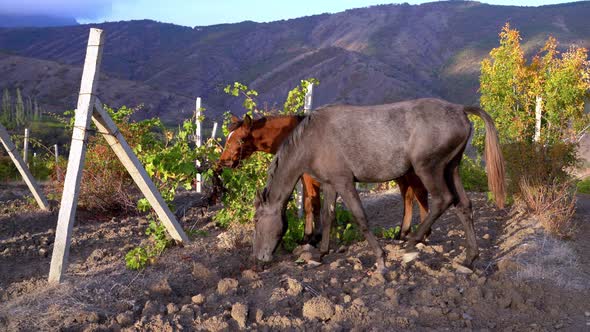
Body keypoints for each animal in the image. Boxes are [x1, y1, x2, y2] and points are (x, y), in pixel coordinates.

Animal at [216, 113, 430, 241]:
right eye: (228, 138)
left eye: (241, 139)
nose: (224, 162)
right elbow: (316, 205)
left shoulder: (309, 179)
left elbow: (312, 204)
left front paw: (310, 238)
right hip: (401, 174)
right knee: (408, 195)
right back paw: (403, 233)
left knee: (419, 194)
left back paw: (422, 234)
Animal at [252, 97, 506, 274]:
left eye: (256, 220)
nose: (259, 259)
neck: (313, 139)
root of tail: (459, 109)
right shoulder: (330, 184)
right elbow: (327, 216)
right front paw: (321, 254)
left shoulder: (345, 183)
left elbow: (361, 218)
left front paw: (380, 258)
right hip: (451, 169)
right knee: (464, 205)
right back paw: (469, 259)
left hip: (429, 169)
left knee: (442, 200)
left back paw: (410, 244)